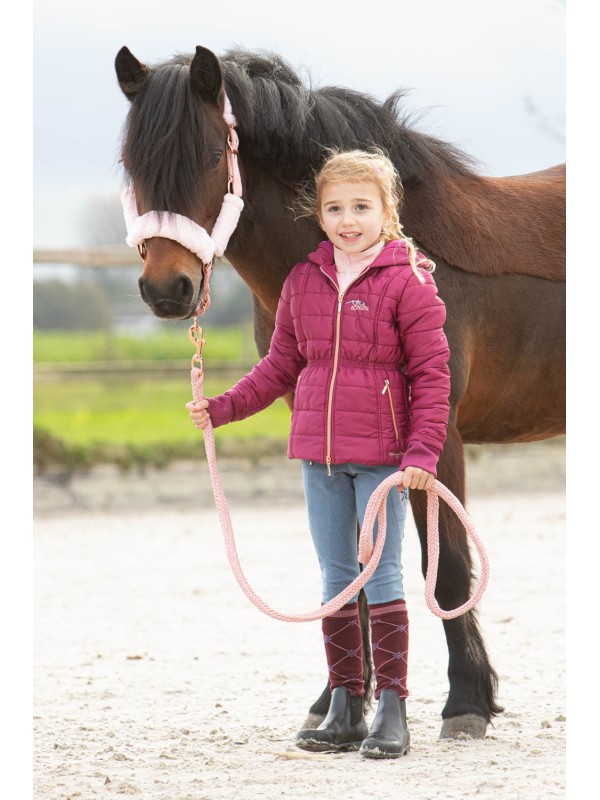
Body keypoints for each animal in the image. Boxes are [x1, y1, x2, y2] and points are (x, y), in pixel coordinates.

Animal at [113, 47, 568, 740]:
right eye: (132, 163)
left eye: (213, 155)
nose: (168, 289)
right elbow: (351, 566)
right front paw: (337, 703)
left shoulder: (437, 439)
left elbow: (448, 565)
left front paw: (467, 702)